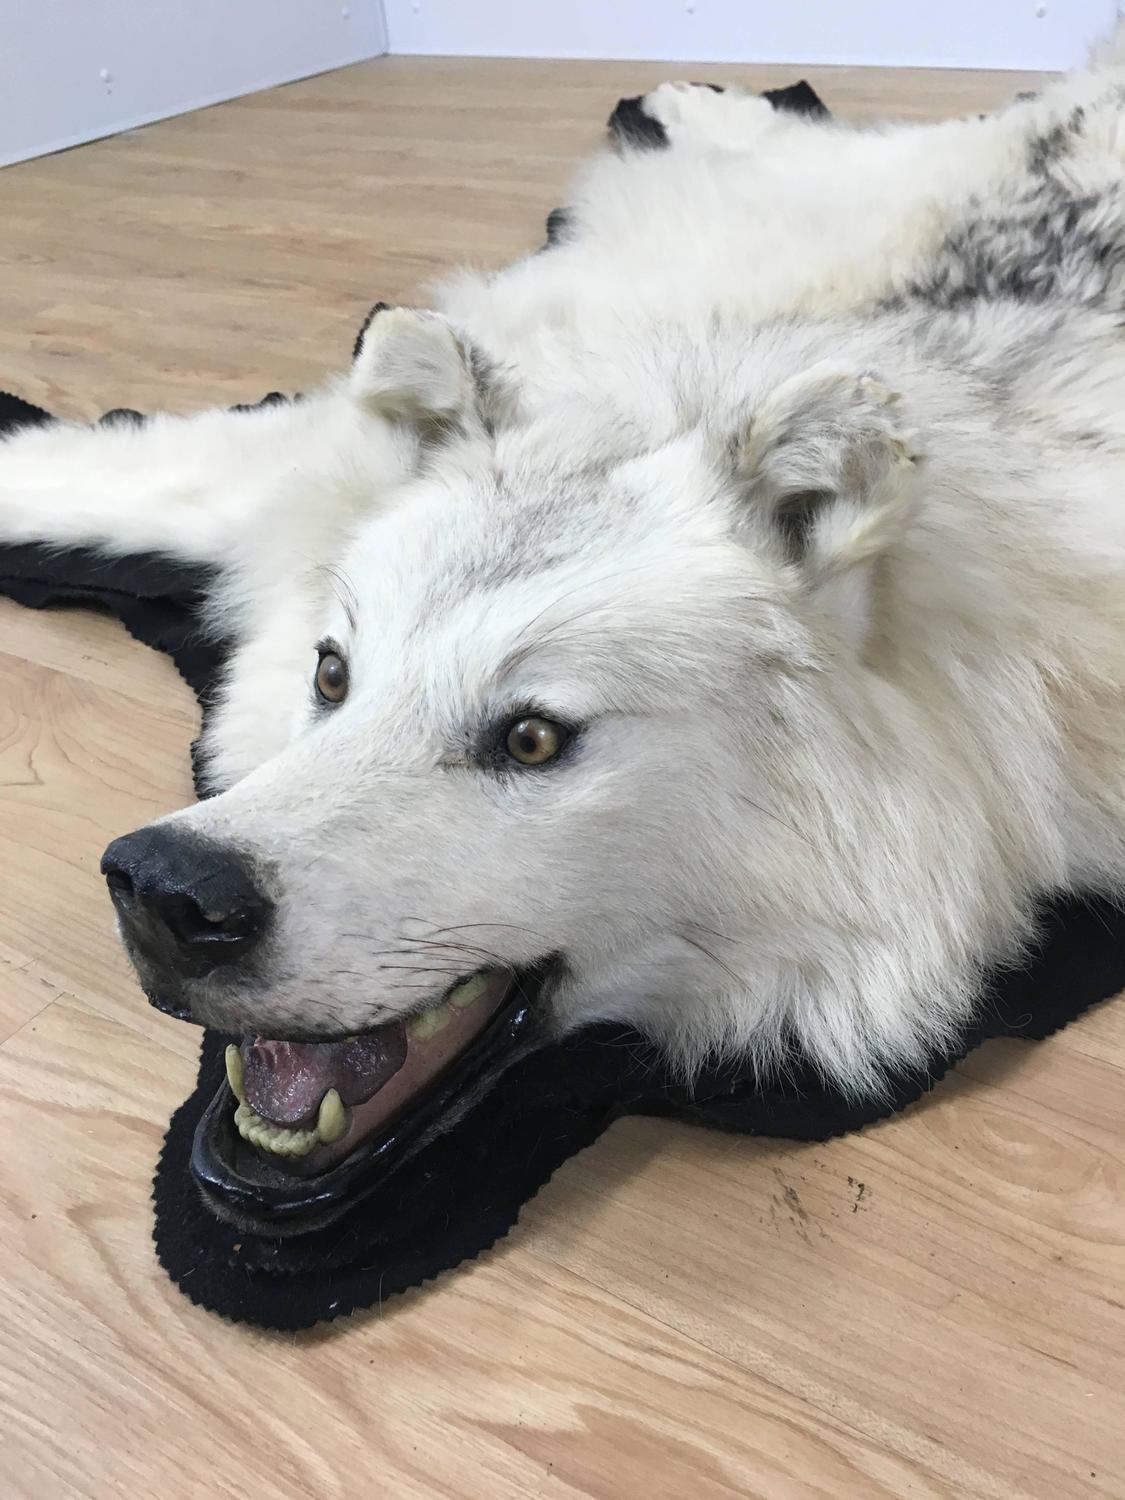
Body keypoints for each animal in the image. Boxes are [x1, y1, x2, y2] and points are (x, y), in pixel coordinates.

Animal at [3, 32, 1125, 1204]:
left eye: (534, 738)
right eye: (332, 675)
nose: (165, 889)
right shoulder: (291, 478)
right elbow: (93, 475)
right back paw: (690, 97)